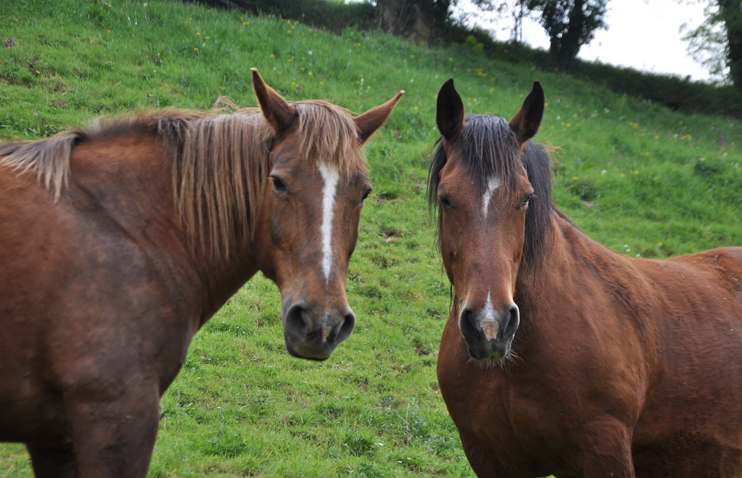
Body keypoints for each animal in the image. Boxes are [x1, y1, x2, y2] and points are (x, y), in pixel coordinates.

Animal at [0, 69, 404, 476]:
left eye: (365, 192)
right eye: (278, 182)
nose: (322, 324)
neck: (131, 226)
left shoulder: (55, 439)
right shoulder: (117, 417)